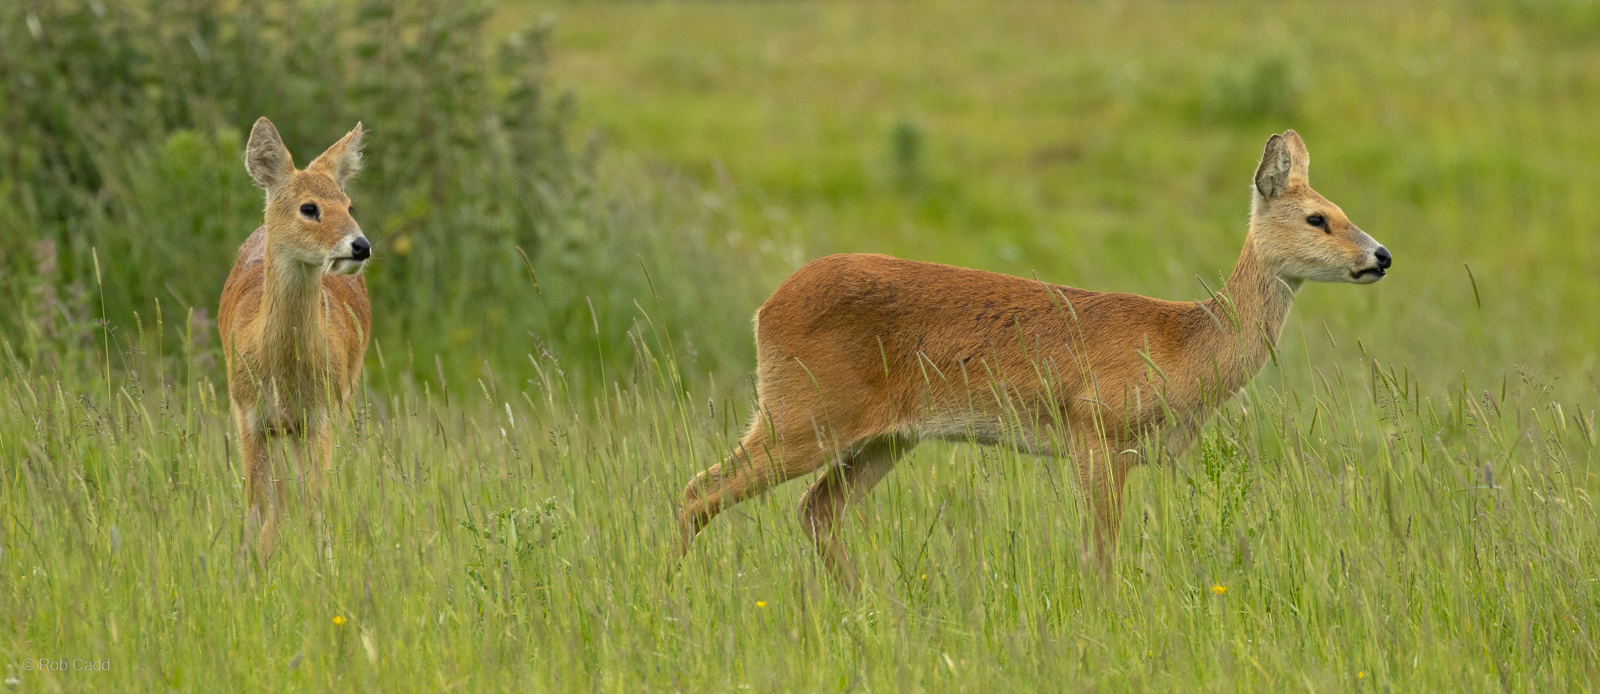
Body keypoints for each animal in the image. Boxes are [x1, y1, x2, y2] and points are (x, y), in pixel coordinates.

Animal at [219, 117, 372, 553]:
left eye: (349, 205)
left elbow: (316, 506)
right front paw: (252, 564)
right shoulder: (249, 416)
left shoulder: (318, 417)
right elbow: (259, 505)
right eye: (309, 208)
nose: (361, 245)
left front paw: (324, 563)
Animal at [674, 131, 1390, 588]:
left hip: (883, 438)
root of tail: (765, 309)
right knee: (698, 490)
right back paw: (671, 592)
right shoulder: (1096, 436)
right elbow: (1099, 555)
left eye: (1344, 210)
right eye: (1317, 218)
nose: (1380, 255)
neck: (1182, 343)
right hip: (802, 415)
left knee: (815, 510)